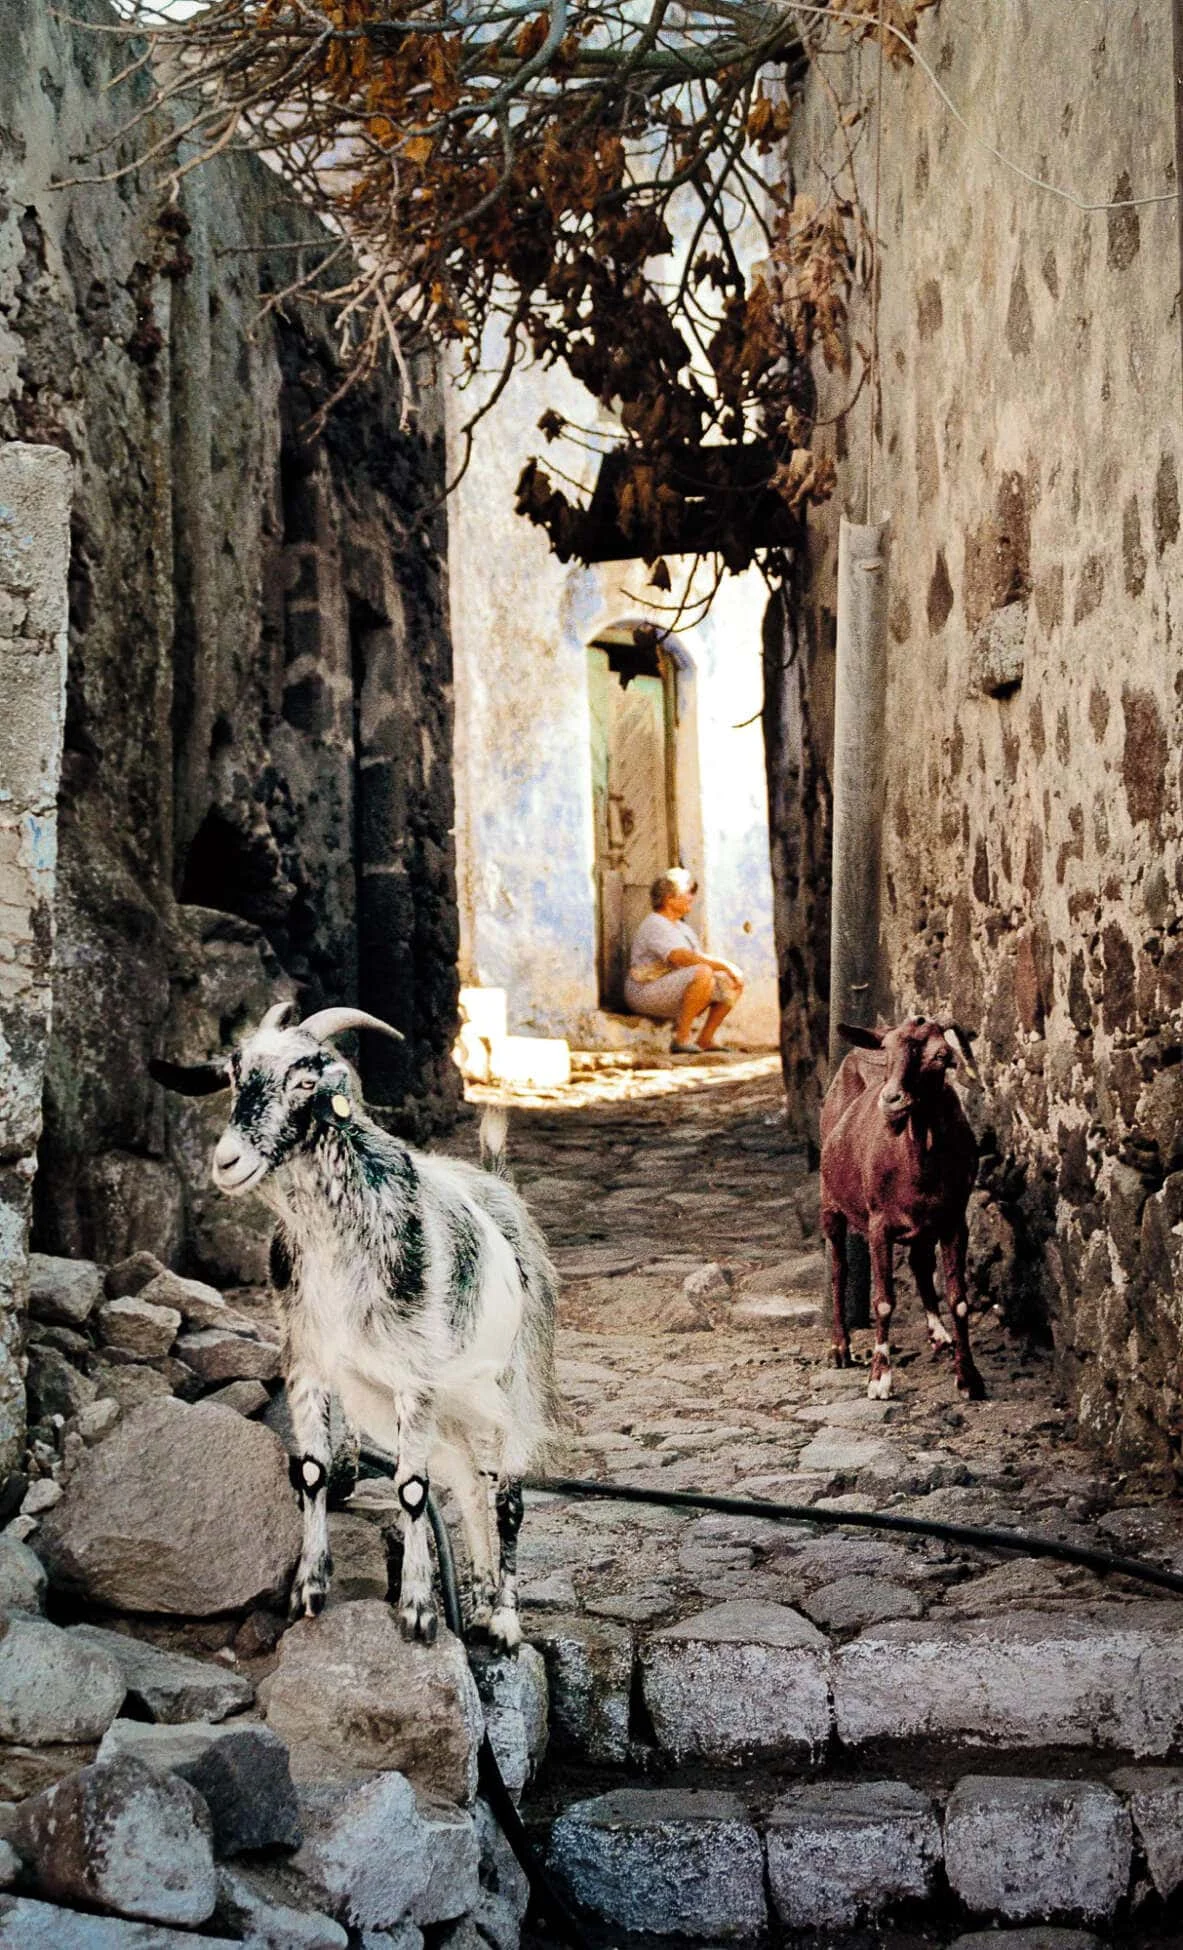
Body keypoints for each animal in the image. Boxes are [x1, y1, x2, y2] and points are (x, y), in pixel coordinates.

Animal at [155, 1001, 561, 1650]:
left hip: (511, 1381)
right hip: (436, 1401)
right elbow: (314, 1472)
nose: (226, 1161)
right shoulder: (311, 1366)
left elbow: (412, 1488)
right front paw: (309, 1590)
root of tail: (500, 1187)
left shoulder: (414, 1379)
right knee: (470, 1484)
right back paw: (473, 1607)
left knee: (507, 1495)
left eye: (305, 1080)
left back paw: (502, 1619)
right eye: (235, 1077)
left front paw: (418, 1610)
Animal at [820, 1013, 985, 1403]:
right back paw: (840, 1348)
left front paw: (969, 1378)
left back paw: (938, 1333)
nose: (891, 1099)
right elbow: (883, 1301)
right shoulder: (879, 1224)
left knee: (920, 1262)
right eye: (887, 1049)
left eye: (941, 1056)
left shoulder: (953, 1220)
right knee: (838, 1269)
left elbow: (958, 1299)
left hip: (924, 1225)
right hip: (830, 1203)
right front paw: (879, 1379)